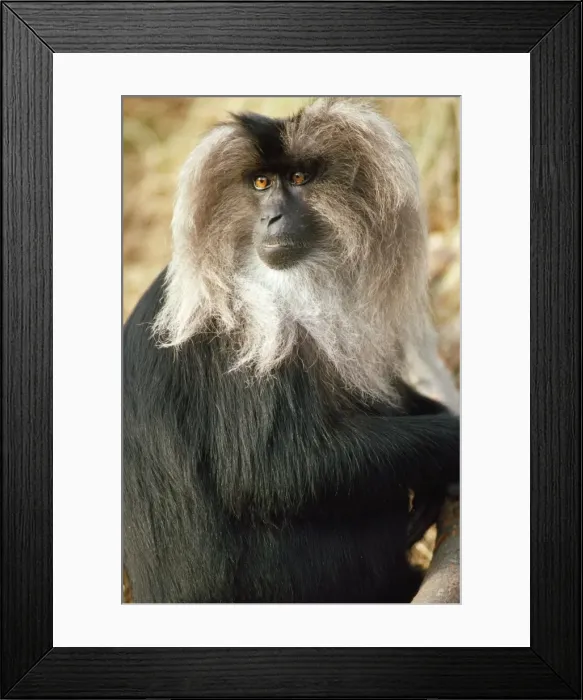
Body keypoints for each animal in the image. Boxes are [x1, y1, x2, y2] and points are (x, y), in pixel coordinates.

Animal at [123, 98, 460, 603]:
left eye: (298, 178)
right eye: (261, 184)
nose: (273, 219)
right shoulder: (244, 328)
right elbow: (273, 472)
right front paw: (452, 440)